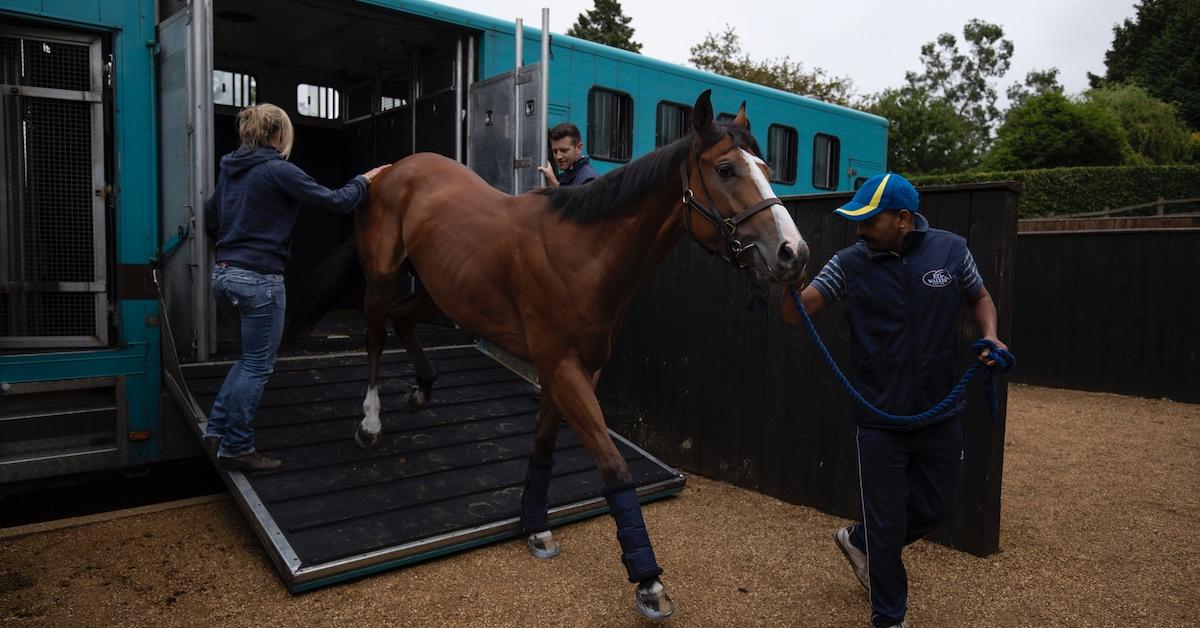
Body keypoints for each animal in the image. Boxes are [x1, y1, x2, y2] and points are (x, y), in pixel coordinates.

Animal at [350, 90, 811, 619]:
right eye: (727, 169)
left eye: (766, 167)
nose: (793, 253)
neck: (583, 253)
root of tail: (395, 169)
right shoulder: (561, 368)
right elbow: (612, 465)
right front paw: (647, 580)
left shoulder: (576, 370)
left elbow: (545, 446)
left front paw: (536, 525)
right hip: (382, 277)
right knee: (375, 335)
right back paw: (370, 423)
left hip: (439, 288)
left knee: (403, 319)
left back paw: (423, 388)